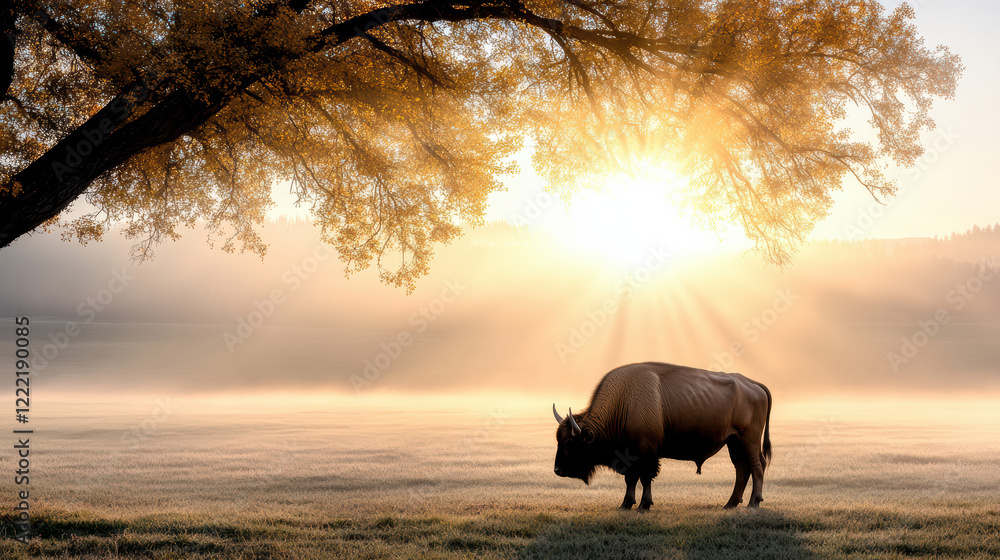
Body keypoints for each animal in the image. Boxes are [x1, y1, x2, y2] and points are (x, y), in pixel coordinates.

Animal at [553, 362, 772, 509]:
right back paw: (730, 504)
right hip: (733, 442)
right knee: (741, 469)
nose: (557, 470)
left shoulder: (646, 453)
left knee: (757, 466)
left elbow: (645, 477)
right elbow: (631, 479)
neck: (625, 402)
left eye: (570, 442)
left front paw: (644, 505)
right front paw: (626, 504)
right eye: (558, 440)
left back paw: (753, 503)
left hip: (748, 439)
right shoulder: (631, 455)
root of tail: (753, 383)